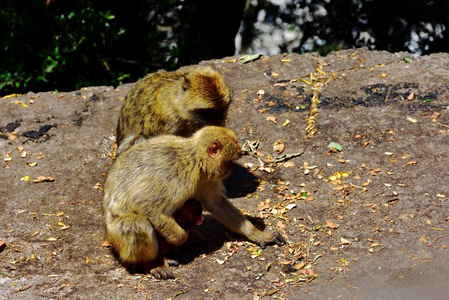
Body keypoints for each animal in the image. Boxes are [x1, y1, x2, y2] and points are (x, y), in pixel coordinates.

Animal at [103, 125, 286, 278]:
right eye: (230, 162)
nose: (230, 170)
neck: (194, 159)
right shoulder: (179, 177)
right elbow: (147, 206)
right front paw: (182, 236)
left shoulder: (204, 178)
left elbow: (216, 203)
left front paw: (257, 234)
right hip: (116, 238)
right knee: (136, 224)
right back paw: (152, 263)